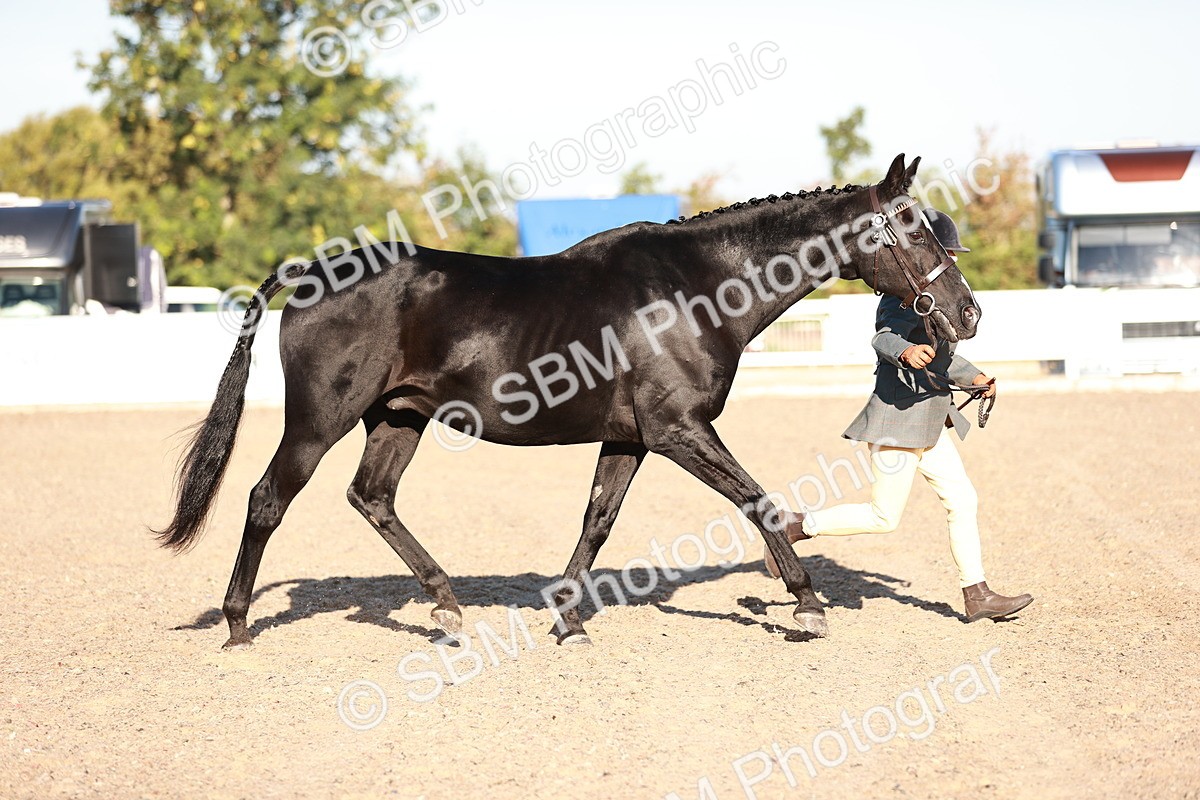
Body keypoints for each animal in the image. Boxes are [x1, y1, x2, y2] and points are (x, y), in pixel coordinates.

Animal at [154, 153, 981, 648]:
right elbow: (756, 499)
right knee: (267, 499)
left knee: (372, 497)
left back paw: (445, 603)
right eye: (913, 229)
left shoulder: (633, 438)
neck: (695, 289)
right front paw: (808, 603)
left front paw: (568, 620)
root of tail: (311, 272)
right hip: (319, 420)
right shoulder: (679, 430)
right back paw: (237, 625)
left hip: (399, 418)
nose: (968, 314)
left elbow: (598, 521)